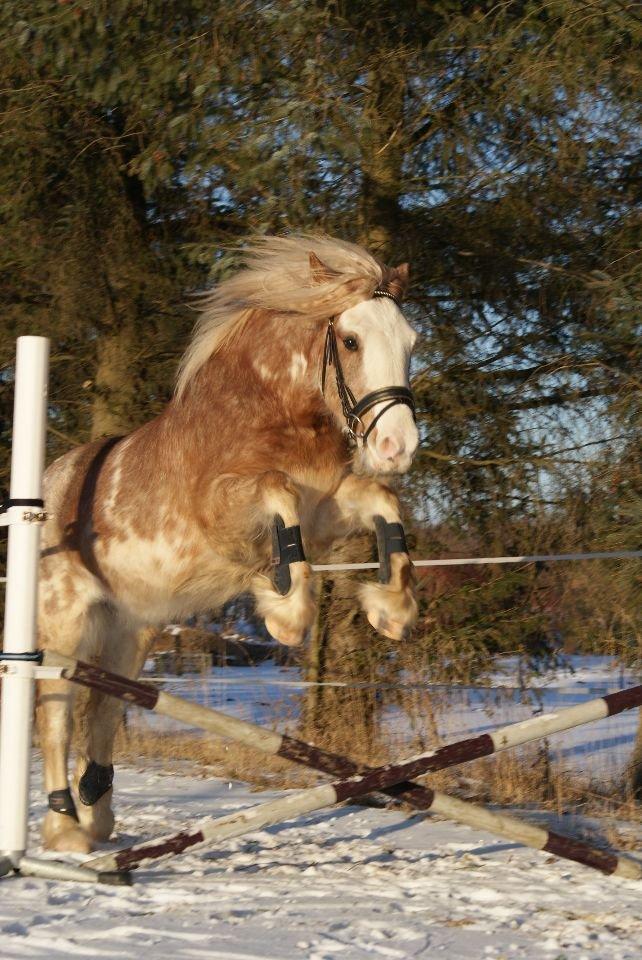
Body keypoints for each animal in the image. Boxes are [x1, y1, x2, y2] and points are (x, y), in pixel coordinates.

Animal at [36, 236, 420, 852]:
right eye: (352, 340)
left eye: (410, 341)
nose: (397, 446)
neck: (266, 416)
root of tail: (49, 486)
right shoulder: (224, 511)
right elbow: (277, 492)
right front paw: (286, 612)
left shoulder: (326, 510)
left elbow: (382, 501)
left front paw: (393, 609)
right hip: (64, 625)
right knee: (57, 713)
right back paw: (66, 830)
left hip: (128, 631)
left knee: (104, 709)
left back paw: (97, 816)